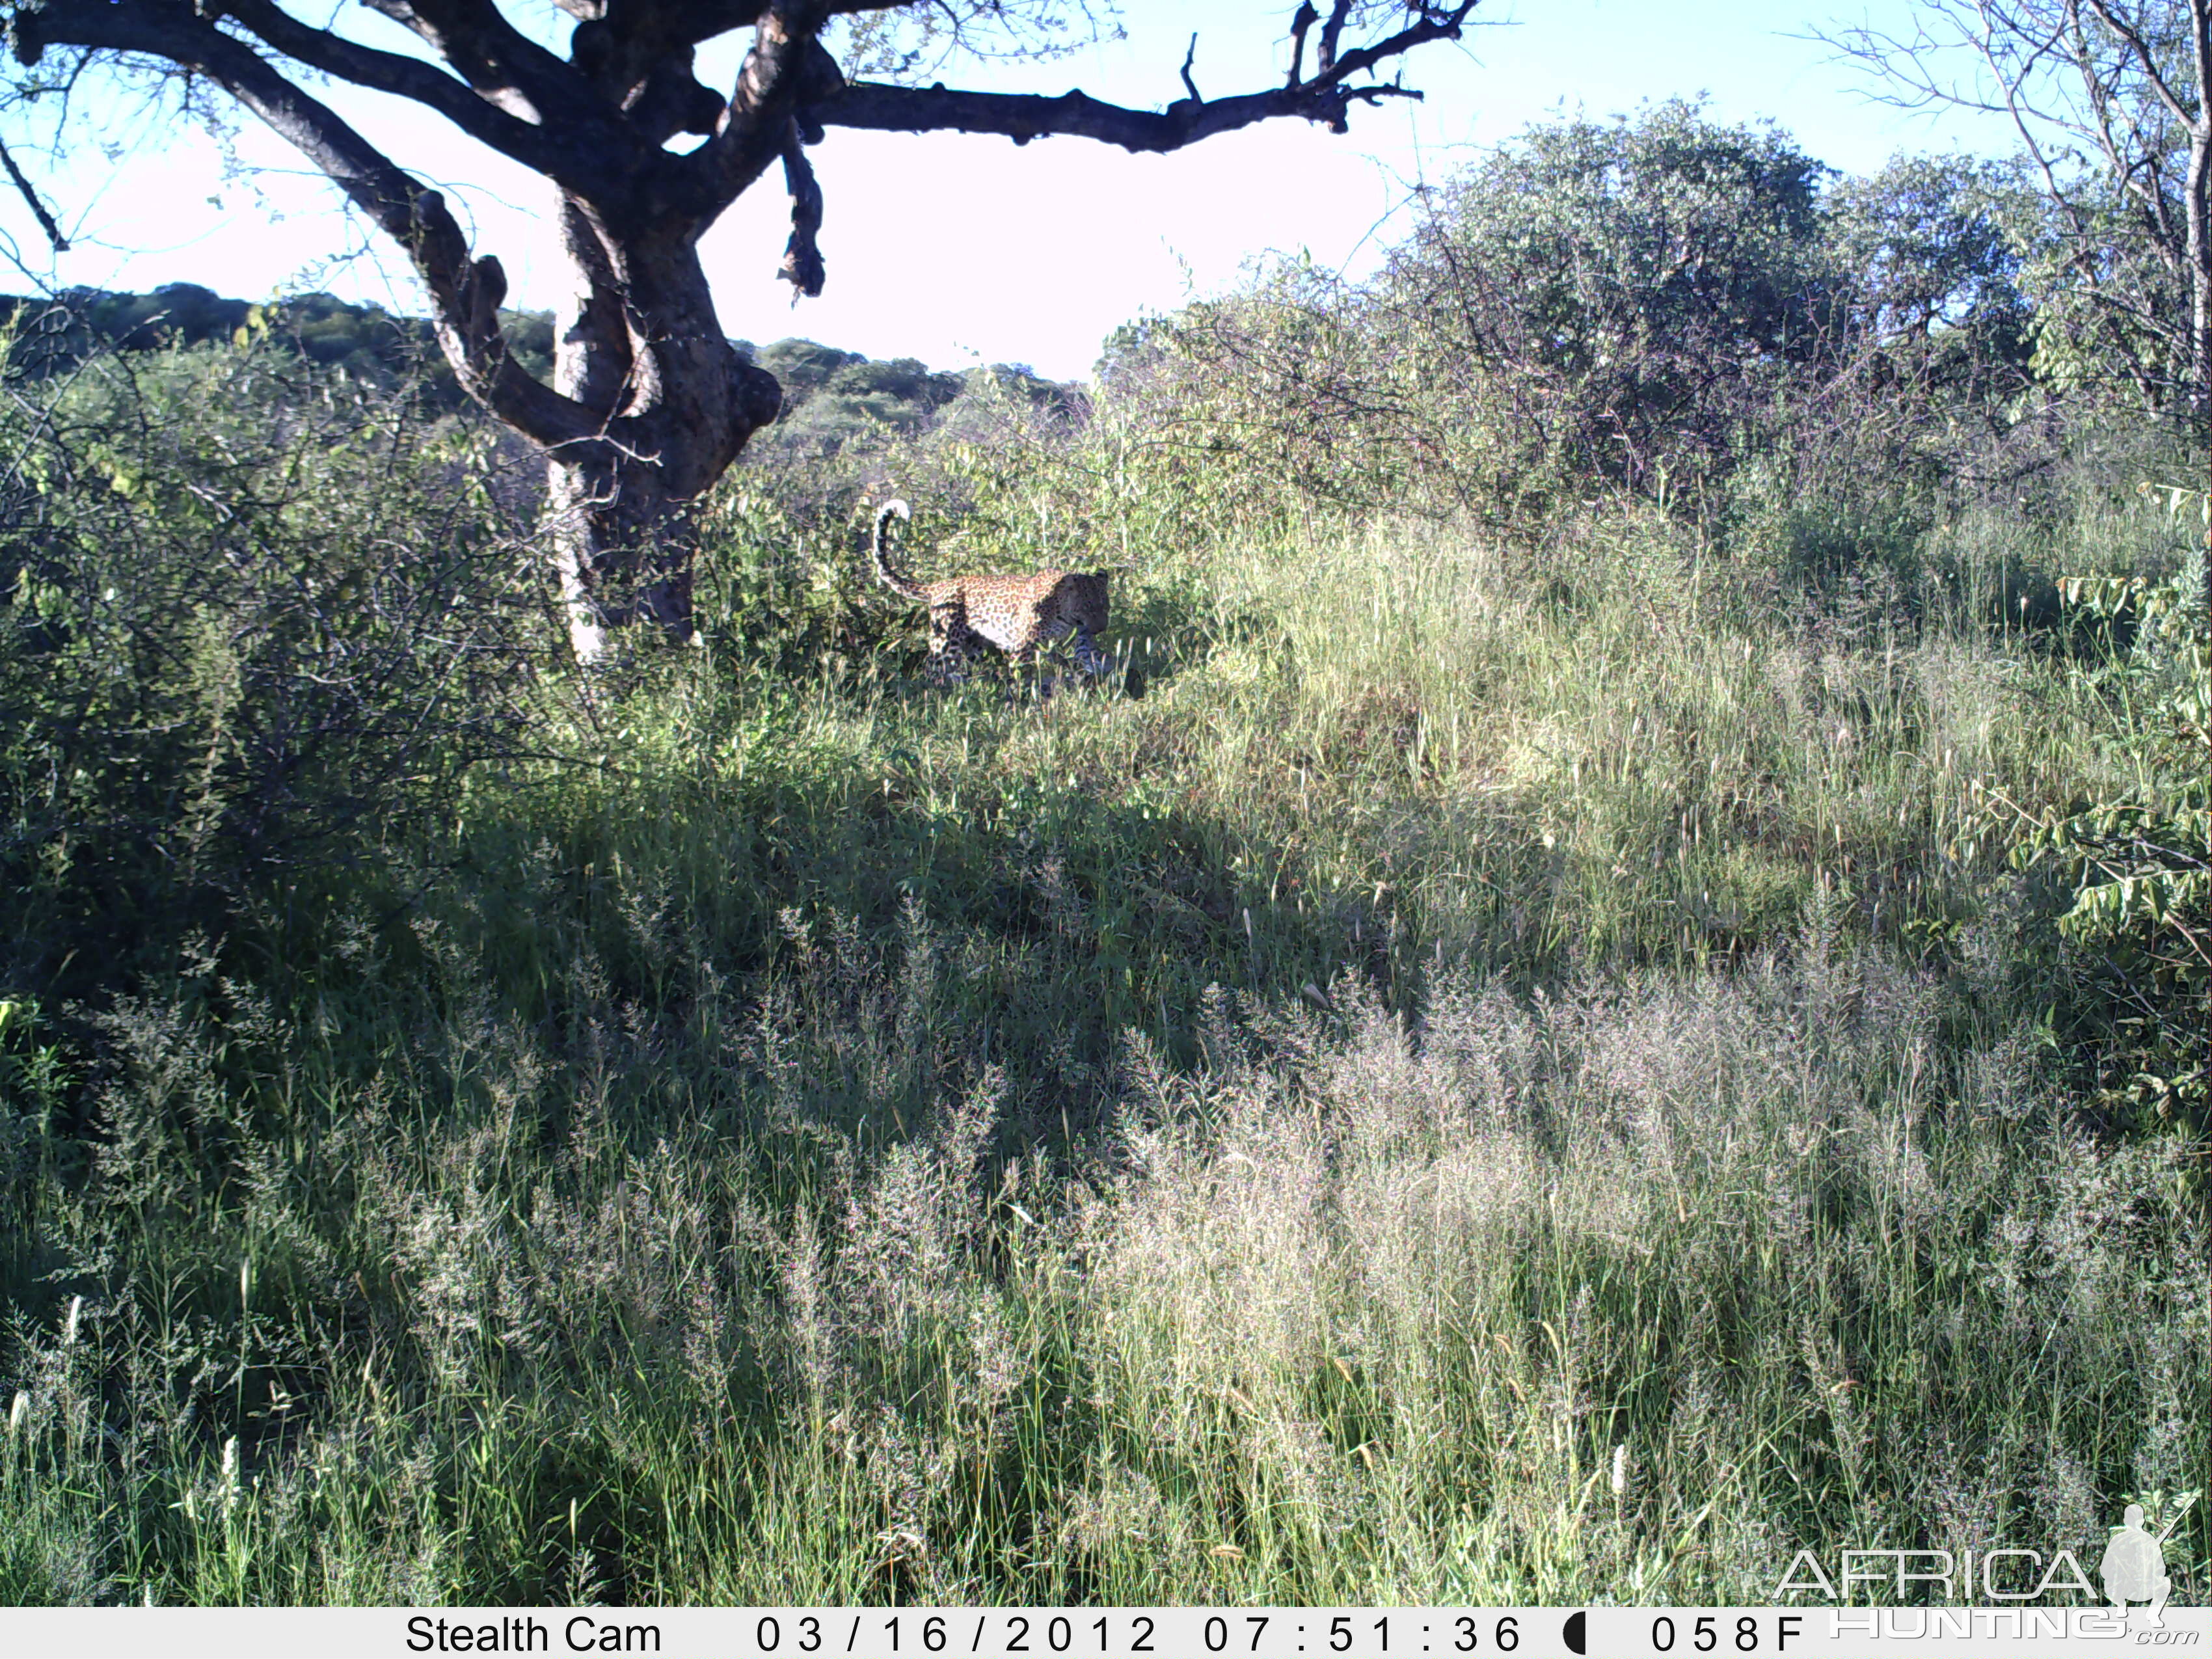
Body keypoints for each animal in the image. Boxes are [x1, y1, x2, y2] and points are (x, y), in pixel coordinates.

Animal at [871, 504, 1114, 690]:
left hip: (974, 644)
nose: (1100, 629)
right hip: (946, 640)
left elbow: (1091, 657)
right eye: (1088, 607)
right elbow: (1021, 673)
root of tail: (938, 586)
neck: (1063, 614)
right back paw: (938, 691)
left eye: (1106, 608)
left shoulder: (1079, 640)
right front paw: (1023, 695)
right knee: (932, 667)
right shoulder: (1023, 647)